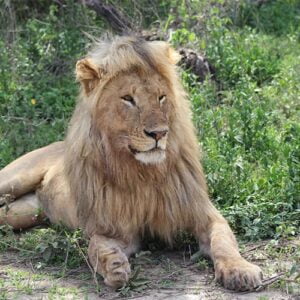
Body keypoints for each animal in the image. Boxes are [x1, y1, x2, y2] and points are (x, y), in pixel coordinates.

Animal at [0, 35, 262, 290]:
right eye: (128, 99)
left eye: (161, 97)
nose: (159, 133)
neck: (144, 174)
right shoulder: (116, 227)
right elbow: (96, 245)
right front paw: (113, 265)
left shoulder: (202, 212)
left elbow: (223, 240)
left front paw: (240, 270)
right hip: (13, 181)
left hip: (22, 213)